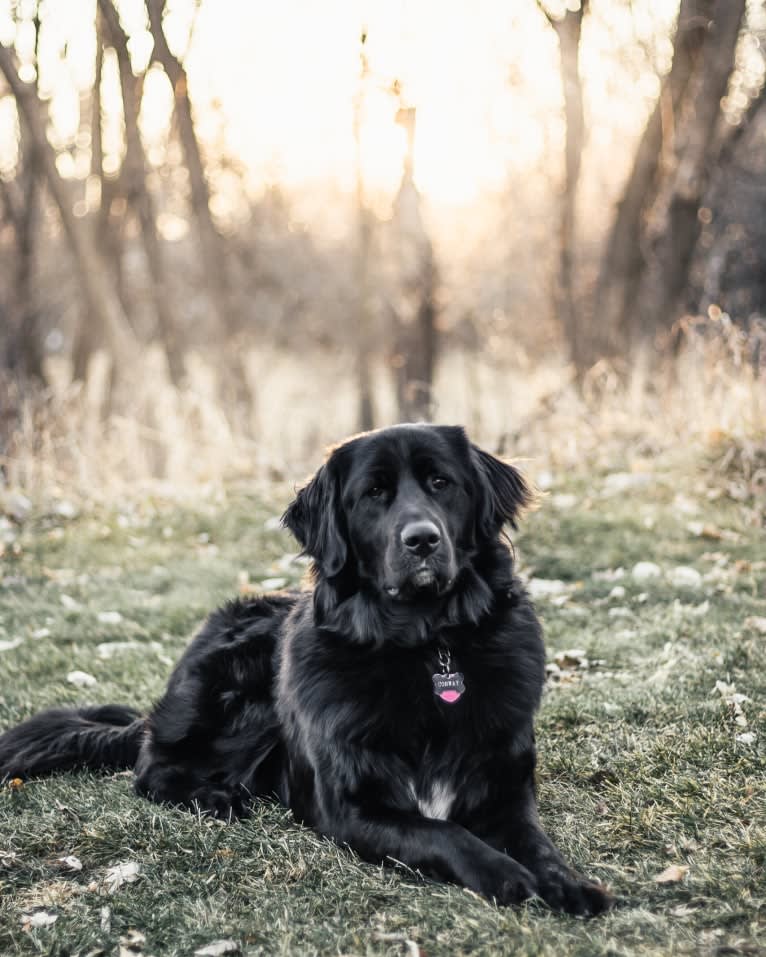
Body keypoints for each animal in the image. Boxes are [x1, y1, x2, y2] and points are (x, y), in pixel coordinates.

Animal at [0, 424, 612, 912]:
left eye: (442, 483)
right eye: (373, 494)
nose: (421, 540)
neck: (426, 645)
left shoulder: (506, 789)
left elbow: (536, 842)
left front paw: (565, 883)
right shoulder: (350, 808)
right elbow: (444, 833)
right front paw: (505, 876)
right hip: (234, 687)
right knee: (152, 768)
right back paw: (217, 797)